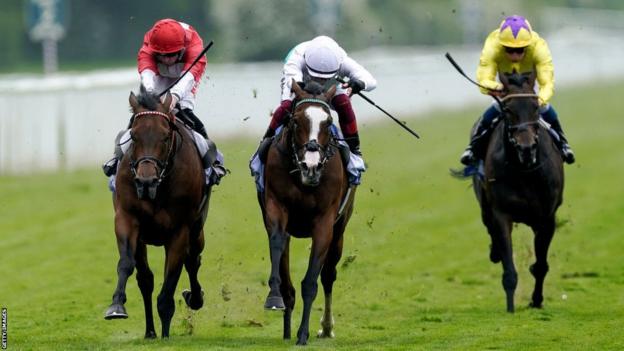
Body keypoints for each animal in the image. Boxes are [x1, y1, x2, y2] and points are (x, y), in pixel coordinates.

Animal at [103, 87, 210, 338]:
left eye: (165, 136)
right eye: (134, 135)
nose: (145, 180)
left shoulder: (180, 230)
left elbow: (170, 281)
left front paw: (166, 333)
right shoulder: (127, 218)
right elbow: (127, 264)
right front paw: (116, 306)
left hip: (197, 229)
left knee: (193, 260)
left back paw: (194, 298)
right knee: (146, 279)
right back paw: (150, 331)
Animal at [258, 80, 356, 346]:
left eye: (328, 122)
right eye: (295, 121)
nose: (310, 167)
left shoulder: (324, 222)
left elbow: (312, 281)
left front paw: (304, 333)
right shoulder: (276, 207)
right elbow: (277, 242)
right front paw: (274, 297)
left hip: (340, 229)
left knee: (329, 275)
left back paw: (326, 327)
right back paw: (286, 326)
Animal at [472, 71, 564, 314]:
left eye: (535, 107)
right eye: (507, 110)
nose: (526, 148)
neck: (524, 171)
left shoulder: (547, 217)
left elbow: (540, 265)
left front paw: (537, 300)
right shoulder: (501, 214)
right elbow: (509, 269)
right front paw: (511, 307)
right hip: (485, 206)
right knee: (490, 229)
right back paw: (494, 252)